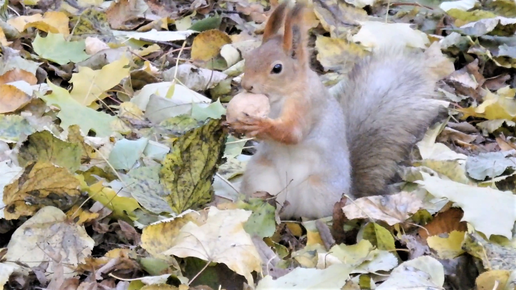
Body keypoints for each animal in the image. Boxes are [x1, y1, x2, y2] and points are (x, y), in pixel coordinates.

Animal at [228, 2, 446, 220]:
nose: (246, 85)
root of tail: (349, 192)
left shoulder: (307, 105)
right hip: (261, 175)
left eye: (277, 68)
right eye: (249, 57)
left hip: (318, 189)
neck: (280, 98)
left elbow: (292, 133)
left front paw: (259, 124)